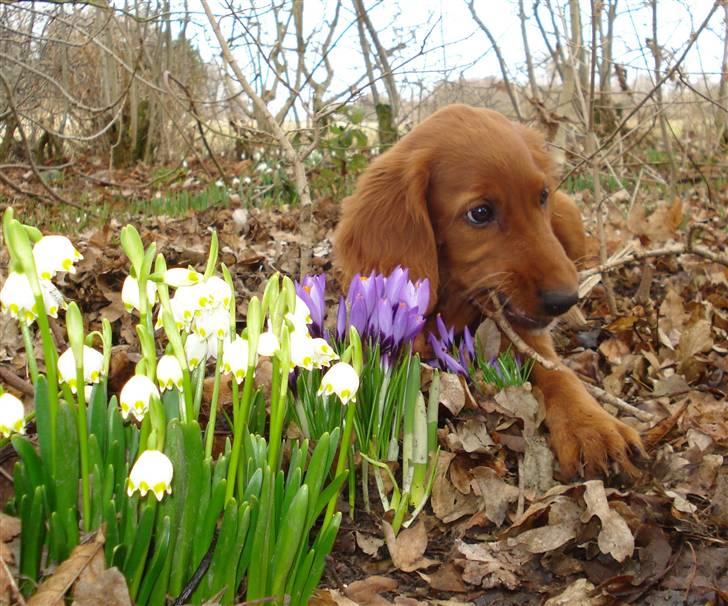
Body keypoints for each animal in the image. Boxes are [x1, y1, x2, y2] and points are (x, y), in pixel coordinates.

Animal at [336, 104, 644, 480]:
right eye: (480, 213)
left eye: (541, 196)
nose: (564, 299)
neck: (452, 298)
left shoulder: (522, 332)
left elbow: (561, 375)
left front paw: (593, 426)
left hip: (569, 214)